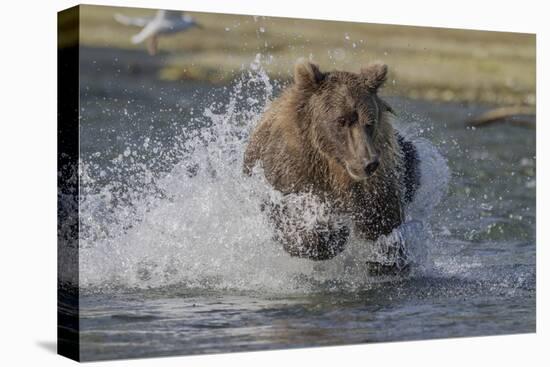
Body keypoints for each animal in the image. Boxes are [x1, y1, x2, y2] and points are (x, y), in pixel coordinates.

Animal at [244, 59, 420, 274]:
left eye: (369, 122)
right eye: (341, 120)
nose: (368, 163)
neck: (333, 167)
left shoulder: (379, 179)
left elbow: (383, 219)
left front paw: (386, 257)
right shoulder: (291, 170)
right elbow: (287, 212)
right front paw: (330, 234)